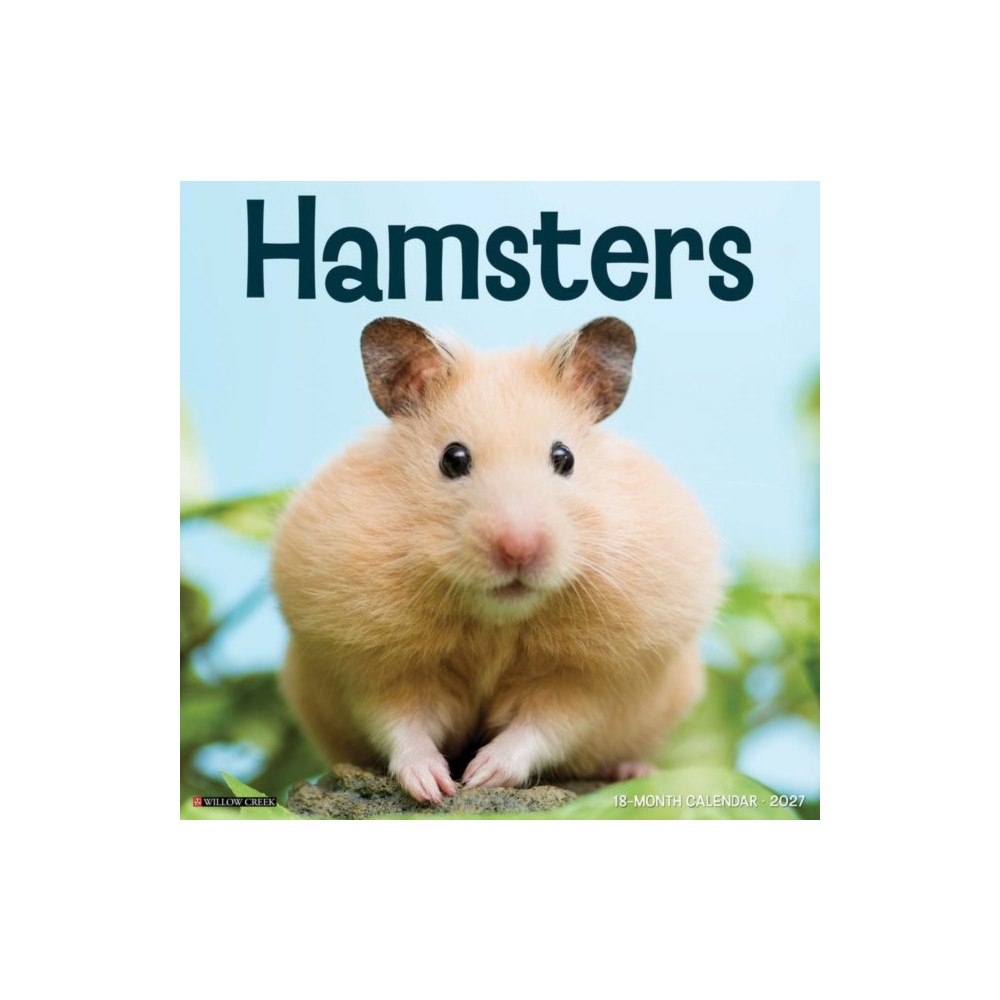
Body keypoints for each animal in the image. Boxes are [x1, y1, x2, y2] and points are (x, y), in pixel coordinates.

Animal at [271, 317, 722, 802]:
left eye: (564, 458)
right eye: (453, 459)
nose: (519, 549)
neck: (496, 622)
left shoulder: (587, 682)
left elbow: (544, 728)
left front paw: (481, 774)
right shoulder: (377, 667)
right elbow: (402, 724)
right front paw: (434, 787)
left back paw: (631, 770)